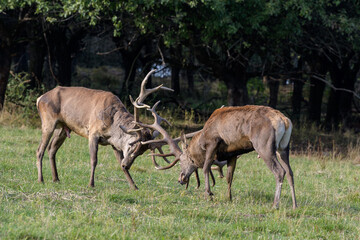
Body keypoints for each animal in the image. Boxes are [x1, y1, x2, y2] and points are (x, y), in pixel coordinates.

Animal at [35, 69, 174, 189]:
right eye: (132, 145)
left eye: (141, 152)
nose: (127, 164)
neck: (111, 127)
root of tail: (39, 99)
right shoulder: (93, 132)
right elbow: (93, 160)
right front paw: (91, 184)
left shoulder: (114, 143)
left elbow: (118, 162)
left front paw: (134, 186)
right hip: (48, 122)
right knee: (39, 150)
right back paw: (41, 180)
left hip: (63, 128)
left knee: (51, 149)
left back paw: (56, 179)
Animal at [136, 102, 296, 209]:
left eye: (183, 161)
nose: (181, 179)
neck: (201, 139)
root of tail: (285, 121)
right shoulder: (233, 153)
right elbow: (229, 177)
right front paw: (228, 197)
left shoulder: (212, 143)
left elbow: (206, 167)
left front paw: (208, 194)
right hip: (283, 148)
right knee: (290, 172)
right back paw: (295, 204)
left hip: (264, 146)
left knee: (279, 172)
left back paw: (275, 205)